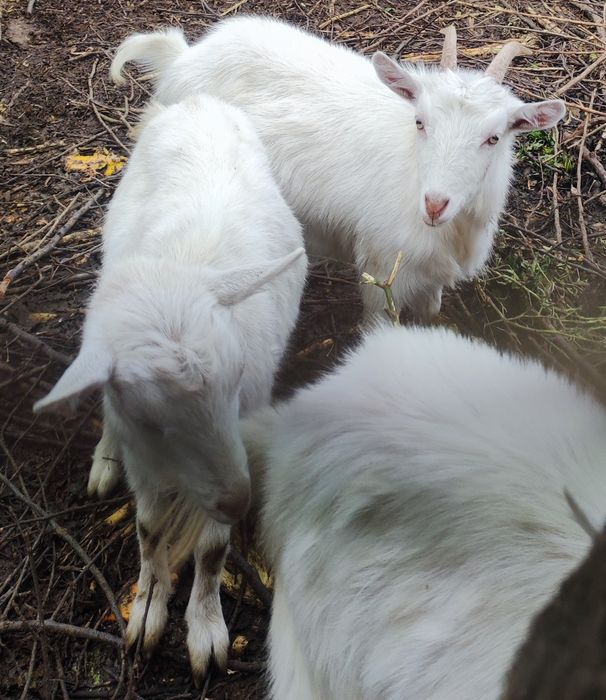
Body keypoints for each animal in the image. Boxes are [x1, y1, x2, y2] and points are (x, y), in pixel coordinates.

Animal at [33, 94, 307, 682]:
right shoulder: (145, 447)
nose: (239, 498)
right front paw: (145, 610)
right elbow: (148, 528)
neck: (182, 262)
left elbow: (210, 551)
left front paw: (205, 631)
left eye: (236, 385)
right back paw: (104, 460)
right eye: (156, 419)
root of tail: (201, 101)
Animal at [110, 19, 565, 320]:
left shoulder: (433, 273)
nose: (435, 204)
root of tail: (182, 58)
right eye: (420, 122)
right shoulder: (383, 271)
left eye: (495, 137)